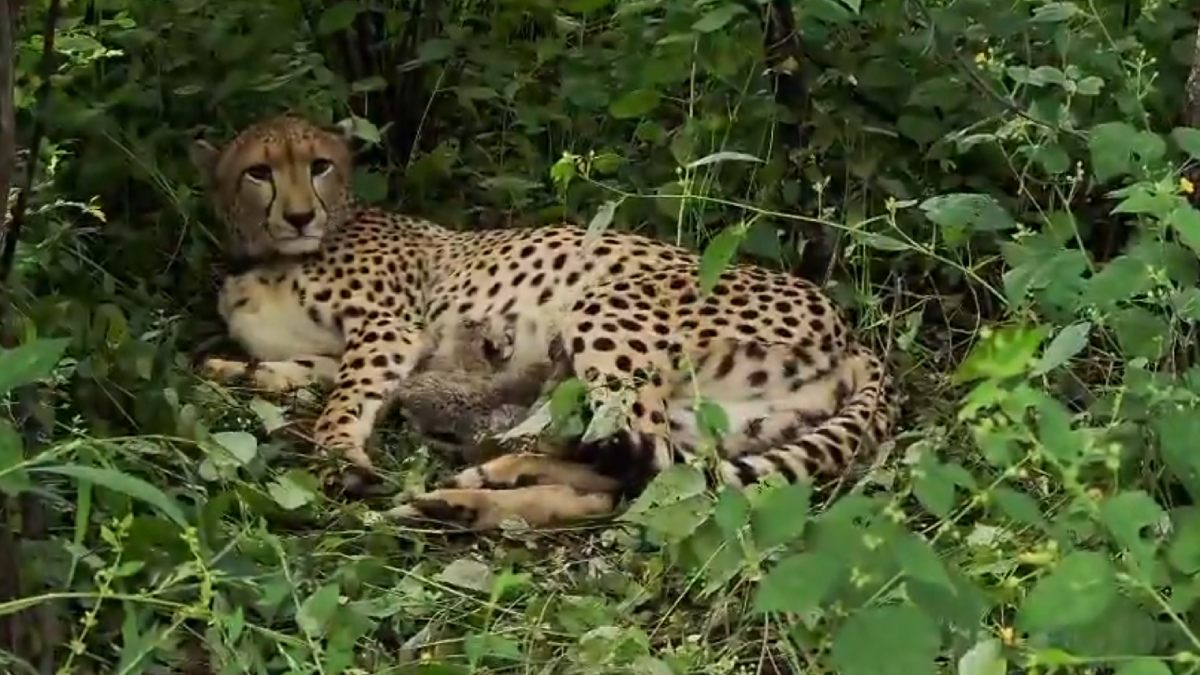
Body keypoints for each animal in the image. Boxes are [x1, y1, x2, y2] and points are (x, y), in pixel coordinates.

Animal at [191, 113, 899, 530]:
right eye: (258, 172)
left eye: (319, 166)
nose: (299, 215)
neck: (272, 256)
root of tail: (855, 335)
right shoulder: (328, 354)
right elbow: (277, 371)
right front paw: (226, 369)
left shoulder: (388, 331)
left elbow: (343, 400)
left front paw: (340, 454)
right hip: (705, 413)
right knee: (631, 480)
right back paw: (470, 495)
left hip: (605, 312)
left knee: (651, 468)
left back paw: (483, 484)